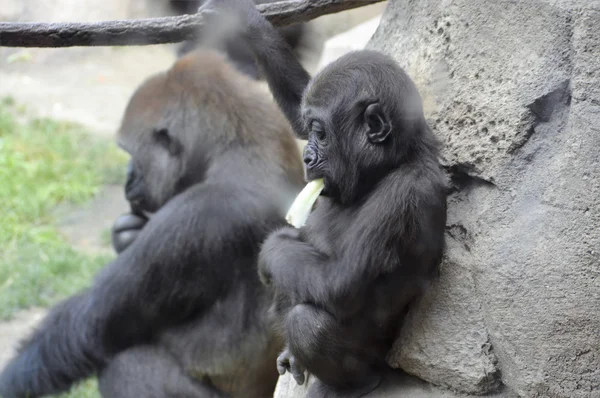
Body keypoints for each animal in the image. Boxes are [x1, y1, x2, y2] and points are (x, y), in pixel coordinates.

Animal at [0, 49, 304, 398]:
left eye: (131, 152)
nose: (128, 178)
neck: (240, 142)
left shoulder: (197, 215)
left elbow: (92, 325)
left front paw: (9, 381)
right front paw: (126, 234)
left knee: (123, 365)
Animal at [203, 1, 450, 396]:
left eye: (321, 133)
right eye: (311, 129)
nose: (307, 158)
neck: (390, 163)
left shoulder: (405, 193)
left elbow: (340, 281)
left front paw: (271, 247)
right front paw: (247, 23)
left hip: (374, 360)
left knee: (308, 322)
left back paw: (350, 384)